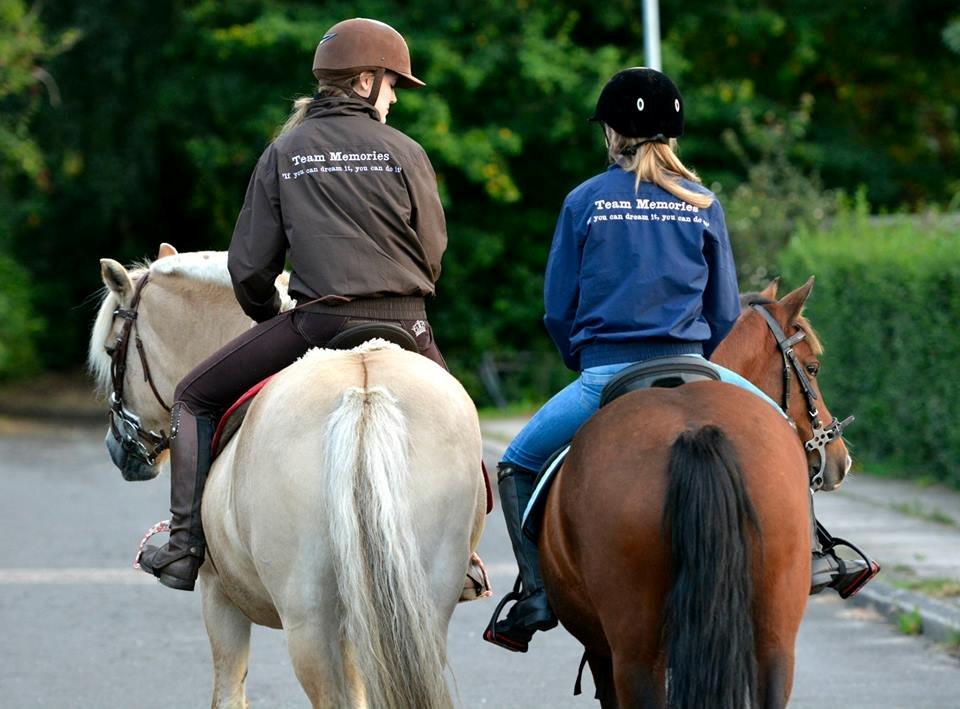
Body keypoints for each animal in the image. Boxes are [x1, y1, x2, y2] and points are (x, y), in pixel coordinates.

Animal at [90, 245, 488, 708]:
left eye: (112, 349)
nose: (117, 447)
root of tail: (363, 393)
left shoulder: (218, 597)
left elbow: (228, 696)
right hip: (420, 613)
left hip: (309, 623)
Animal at [540, 278, 848, 708]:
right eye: (812, 367)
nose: (840, 459)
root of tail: (694, 429)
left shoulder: (602, 650)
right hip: (774, 641)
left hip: (635, 655)